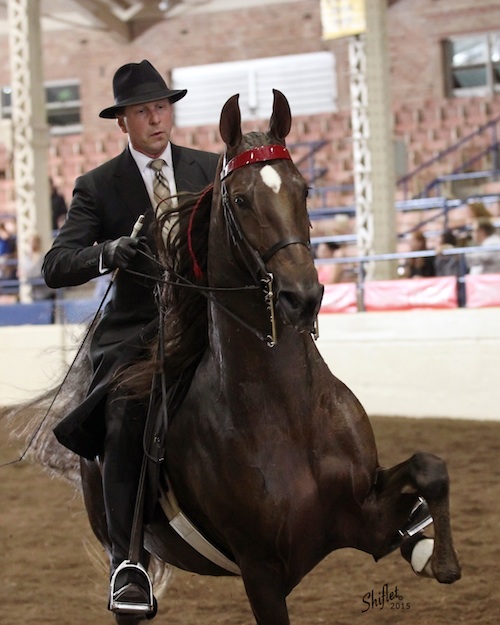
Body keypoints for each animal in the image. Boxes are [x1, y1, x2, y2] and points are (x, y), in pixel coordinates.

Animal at [79, 89, 460, 624]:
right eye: (240, 199)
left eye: (304, 191)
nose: (304, 297)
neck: (287, 412)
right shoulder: (260, 570)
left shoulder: (364, 517)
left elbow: (430, 467)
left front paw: (440, 559)